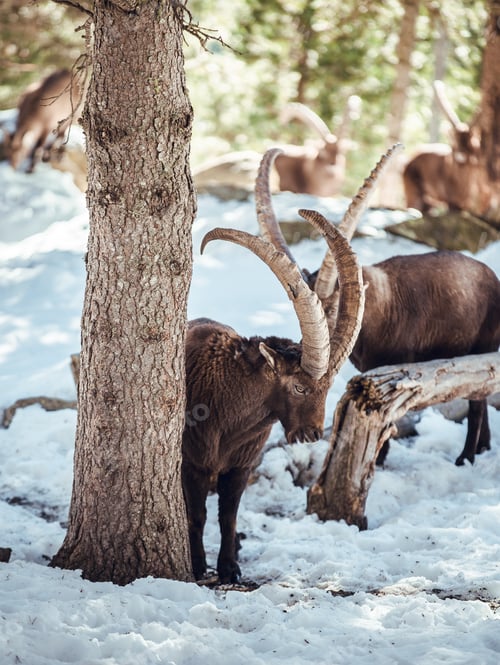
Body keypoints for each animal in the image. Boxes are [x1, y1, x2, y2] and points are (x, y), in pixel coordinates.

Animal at [182, 151, 367, 584]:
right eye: (299, 387)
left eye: (328, 388)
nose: (312, 434)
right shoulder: (192, 464)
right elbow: (198, 516)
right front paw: (198, 568)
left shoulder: (240, 466)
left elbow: (228, 516)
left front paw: (230, 568)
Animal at [258, 145, 500, 468]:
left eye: (333, 308)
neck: (379, 309)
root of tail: (495, 279)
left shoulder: (392, 375)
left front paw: (378, 463)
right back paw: (483, 448)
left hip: (482, 347)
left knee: (477, 402)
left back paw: (466, 457)